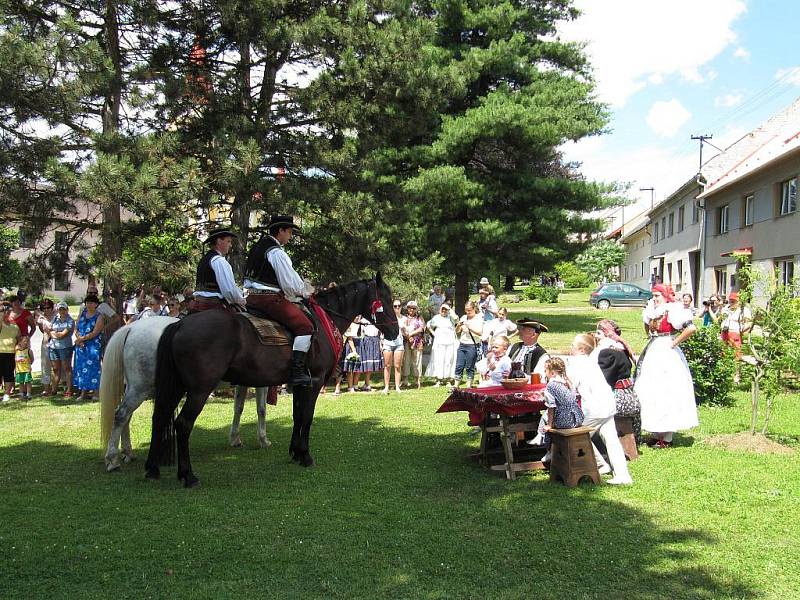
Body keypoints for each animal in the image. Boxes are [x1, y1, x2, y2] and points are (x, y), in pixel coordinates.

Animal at [145, 276, 398, 488]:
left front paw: (295, 453)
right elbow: (307, 417)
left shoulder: (300, 384)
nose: (395, 332)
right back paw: (188, 475)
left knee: (159, 418)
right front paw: (305, 456)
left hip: (177, 387)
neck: (324, 321)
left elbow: (298, 416)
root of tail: (181, 323)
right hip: (199, 390)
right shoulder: (314, 383)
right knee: (182, 424)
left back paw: (152, 468)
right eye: (386, 299)